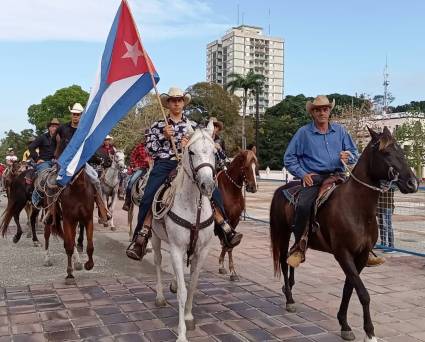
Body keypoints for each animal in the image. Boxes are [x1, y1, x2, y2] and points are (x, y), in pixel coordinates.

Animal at [152, 121, 215, 342]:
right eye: (192, 151)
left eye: (215, 151)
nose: (207, 185)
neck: (194, 205)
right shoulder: (177, 248)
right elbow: (182, 291)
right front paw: (181, 334)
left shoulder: (202, 250)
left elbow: (193, 285)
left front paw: (188, 316)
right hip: (155, 237)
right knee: (158, 262)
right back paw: (160, 296)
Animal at [217, 150, 256, 280]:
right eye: (246, 167)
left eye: (256, 166)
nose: (253, 187)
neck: (230, 189)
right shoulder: (225, 218)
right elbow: (226, 240)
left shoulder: (235, 219)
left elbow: (229, 244)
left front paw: (230, 270)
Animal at [270, 127, 416, 342]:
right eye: (386, 153)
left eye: (402, 151)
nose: (413, 183)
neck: (356, 208)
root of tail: (283, 188)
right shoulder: (343, 254)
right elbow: (363, 293)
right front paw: (369, 332)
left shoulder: (361, 256)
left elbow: (349, 288)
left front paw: (344, 324)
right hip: (282, 231)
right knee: (282, 259)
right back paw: (289, 298)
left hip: (296, 236)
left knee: (291, 256)